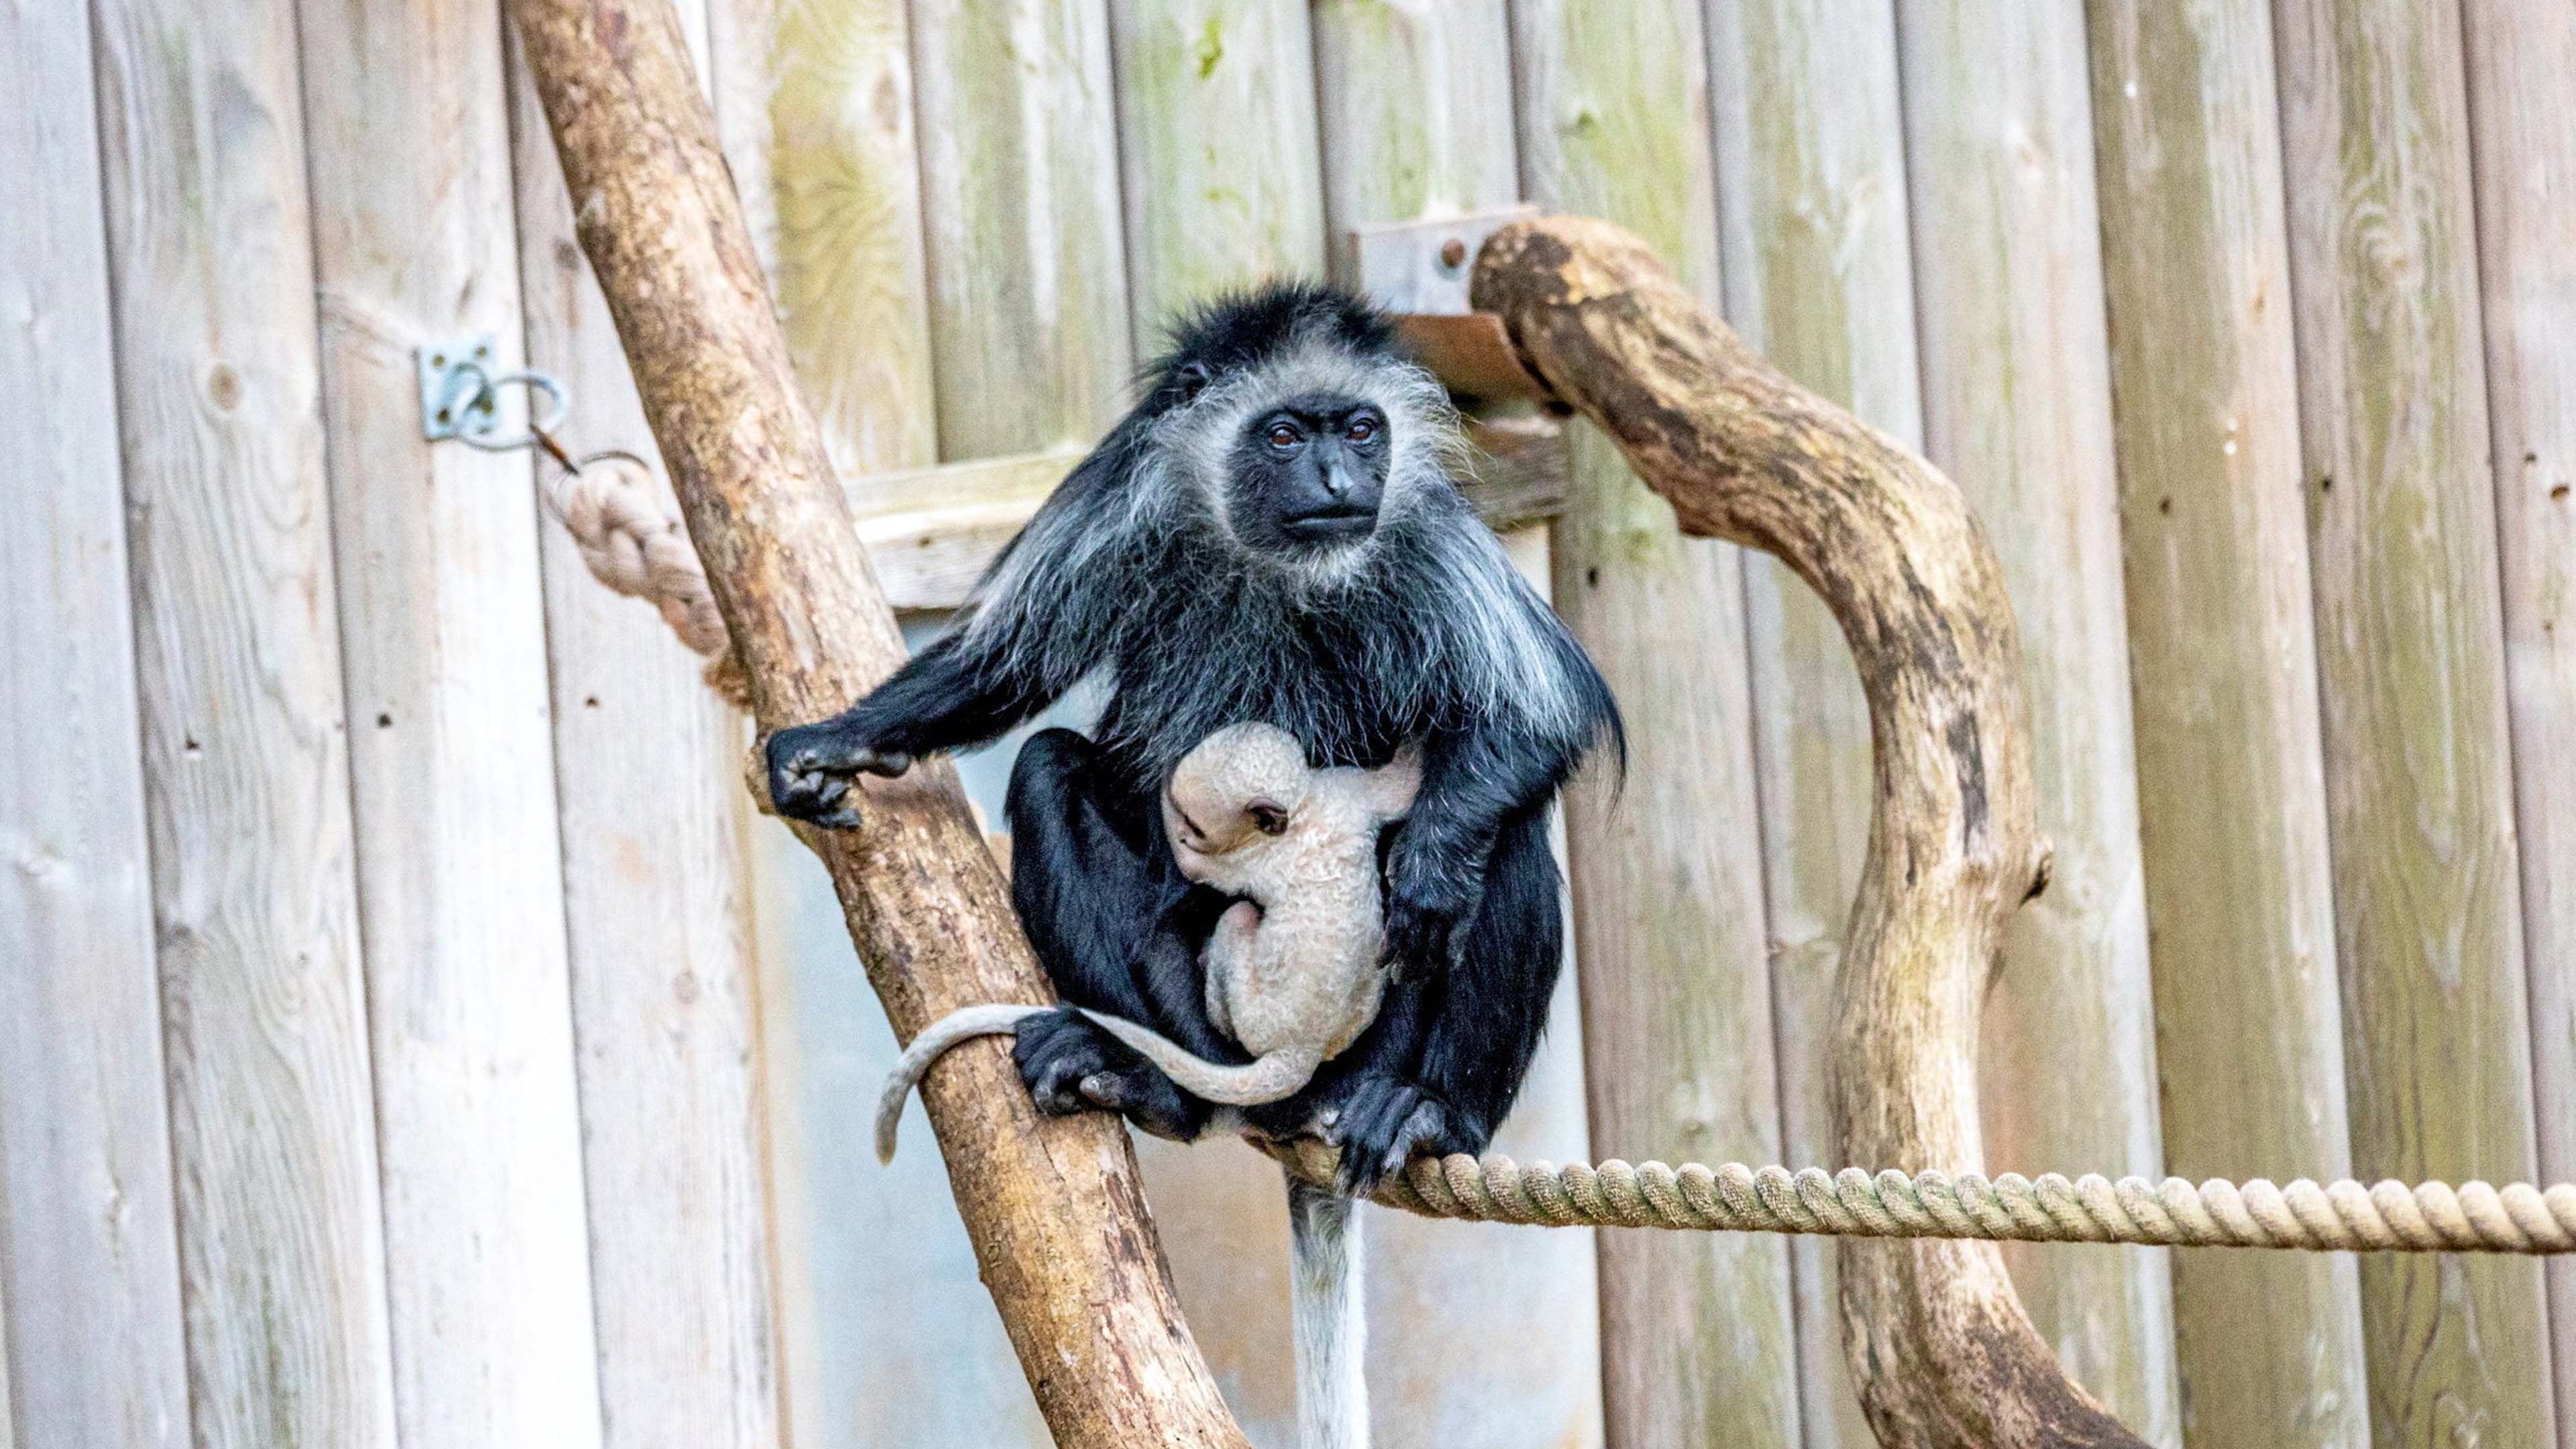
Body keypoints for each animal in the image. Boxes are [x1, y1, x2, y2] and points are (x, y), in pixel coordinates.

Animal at [871, 723, 1420, 1163]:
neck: (1302, 815)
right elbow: (1400, 785)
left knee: (1228, 921)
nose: (1185, 831)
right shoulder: (1346, 794)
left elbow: (1193, 883)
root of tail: (1299, 1051)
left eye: (1195, 825)